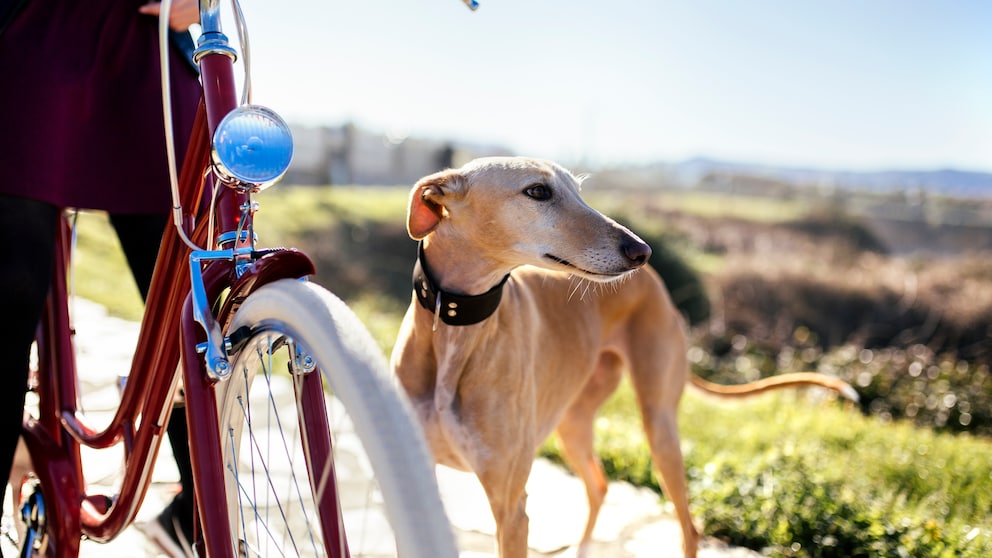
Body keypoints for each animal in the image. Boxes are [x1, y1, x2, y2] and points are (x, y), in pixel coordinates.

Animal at [392, 158, 856, 558]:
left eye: (578, 191)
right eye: (538, 191)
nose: (641, 250)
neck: (453, 322)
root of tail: (658, 286)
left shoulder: (511, 509)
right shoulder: (415, 478)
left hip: (659, 426)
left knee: (688, 527)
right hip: (573, 422)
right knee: (599, 485)